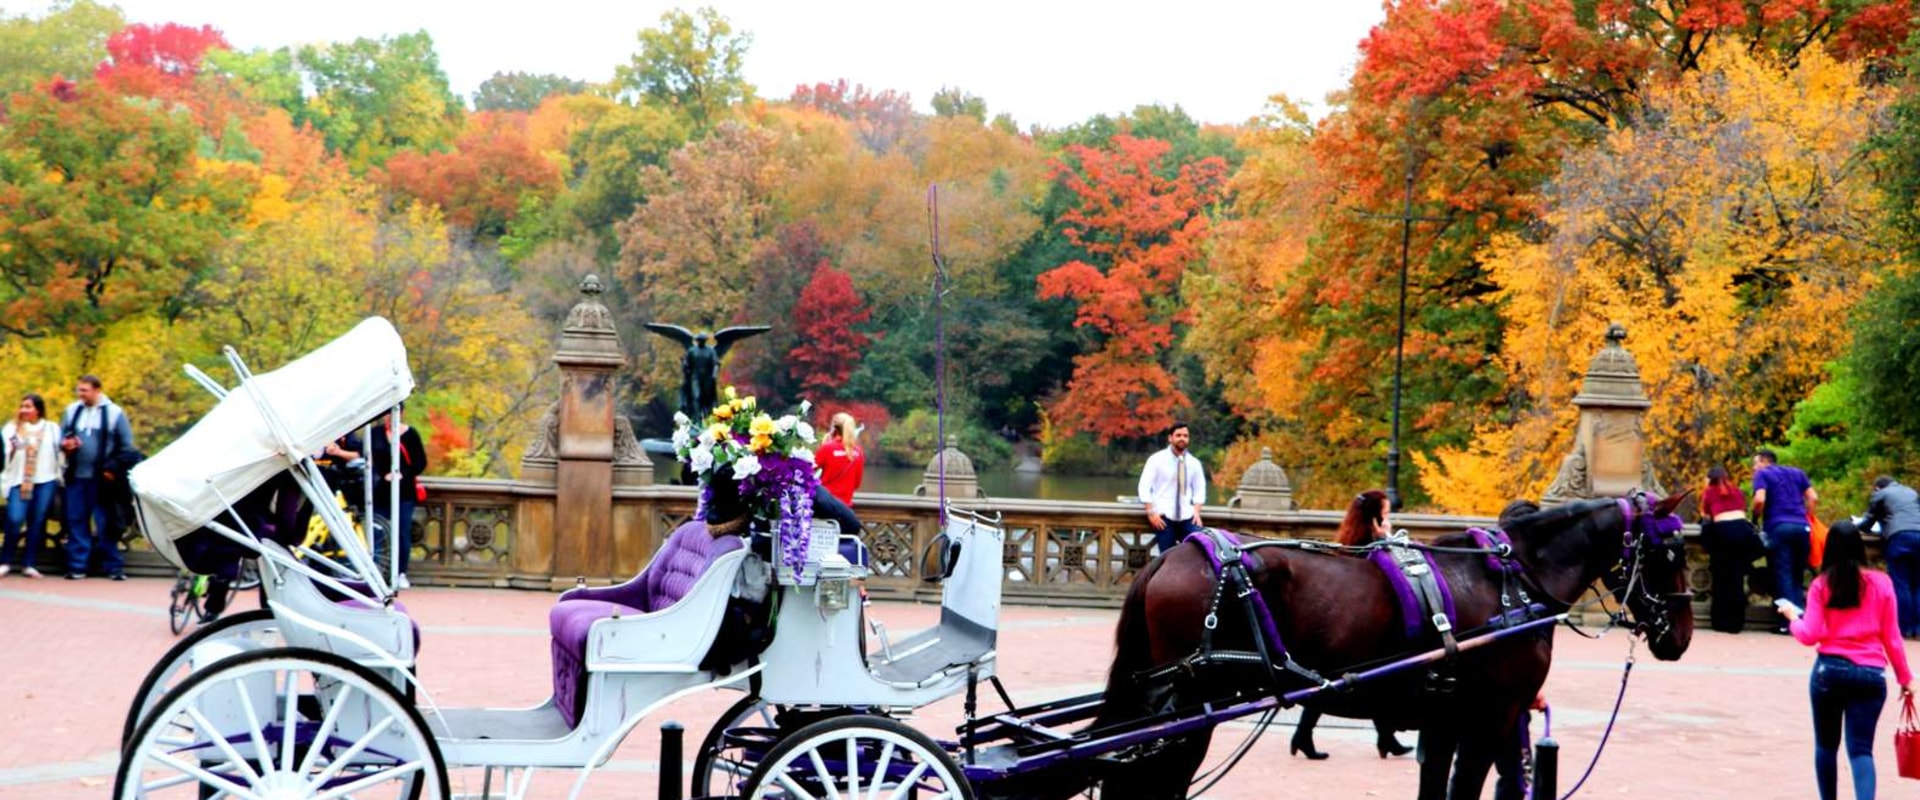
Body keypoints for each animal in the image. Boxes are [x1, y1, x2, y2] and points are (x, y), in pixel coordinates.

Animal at [1098, 491, 1697, 798]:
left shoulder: (1450, 720)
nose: (1682, 635)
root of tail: (1173, 555)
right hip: (1187, 715)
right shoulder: (1491, 717)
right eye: (1670, 549)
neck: (1515, 579)